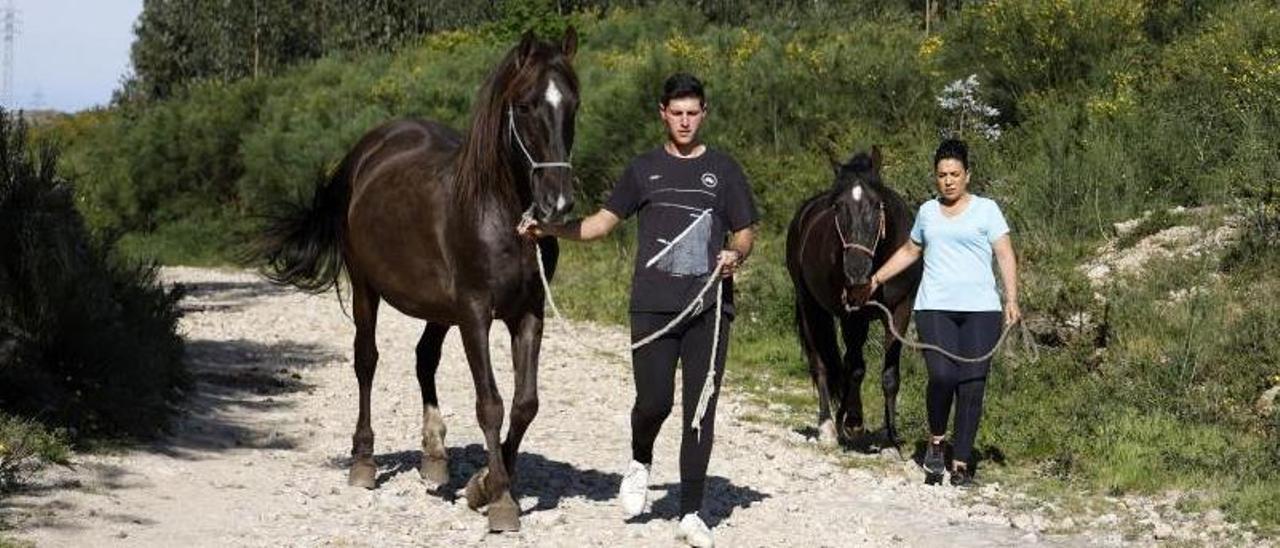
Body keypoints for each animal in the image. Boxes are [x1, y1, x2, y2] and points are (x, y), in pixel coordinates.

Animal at [254, 28, 581, 530]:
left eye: (573, 104)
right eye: (525, 106)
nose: (557, 205)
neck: (499, 213)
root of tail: (365, 151)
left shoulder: (528, 313)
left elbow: (525, 404)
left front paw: (483, 484)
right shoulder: (474, 313)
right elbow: (490, 404)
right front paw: (501, 499)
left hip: (438, 308)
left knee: (424, 358)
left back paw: (434, 456)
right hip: (367, 287)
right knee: (366, 361)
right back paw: (364, 462)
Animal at [778, 146, 921, 450]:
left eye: (877, 205)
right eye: (837, 207)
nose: (856, 272)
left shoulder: (900, 311)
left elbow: (889, 375)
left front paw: (892, 439)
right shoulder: (853, 315)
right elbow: (855, 368)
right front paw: (854, 421)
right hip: (810, 305)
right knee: (820, 363)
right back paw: (828, 426)